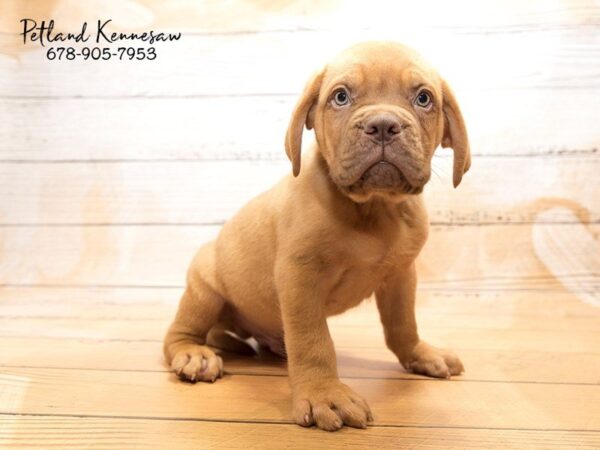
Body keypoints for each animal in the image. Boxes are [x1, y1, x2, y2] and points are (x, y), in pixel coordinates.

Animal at [164, 42, 468, 432]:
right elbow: (313, 341)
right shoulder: (300, 277)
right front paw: (325, 394)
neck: (373, 209)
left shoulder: (401, 275)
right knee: (179, 332)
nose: (383, 125)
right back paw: (193, 353)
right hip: (204, 290)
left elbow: (403, 324)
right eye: (340, 96)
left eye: (424, 98)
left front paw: (421, 354)